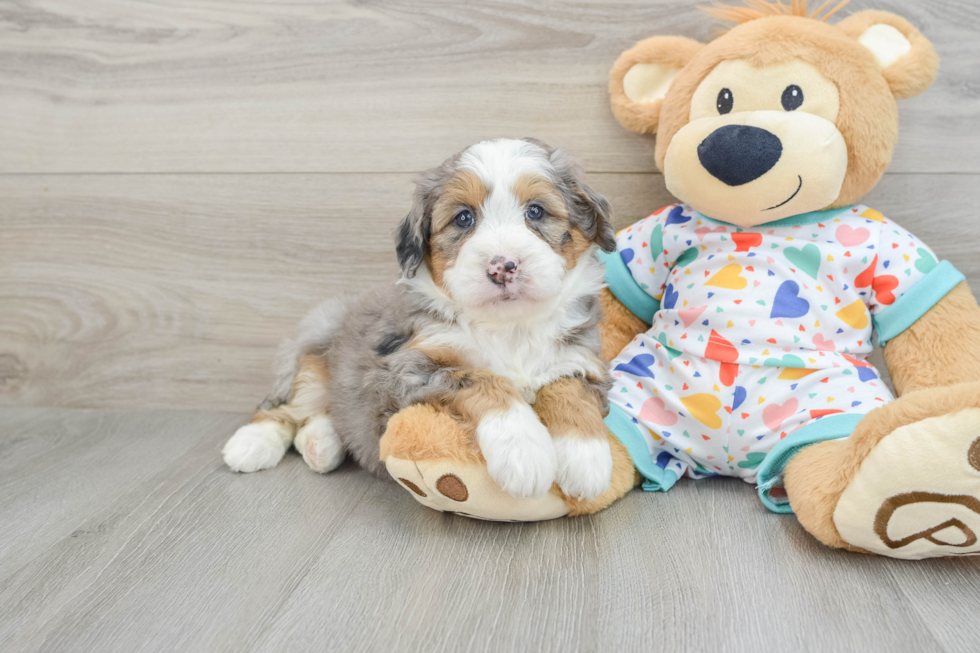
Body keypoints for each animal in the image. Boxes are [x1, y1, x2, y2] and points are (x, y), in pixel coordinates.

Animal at [226, 138, 616, 500]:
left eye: (535, 212)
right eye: (463, 218)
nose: (502, 267)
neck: (510, 327)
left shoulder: (581, 360)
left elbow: (569, 391)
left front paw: (586, 459)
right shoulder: (406, 369)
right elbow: (483, 379)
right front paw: (524, 452)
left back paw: (322, 445)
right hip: (313, 351)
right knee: (283, 406)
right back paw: (251, 444)